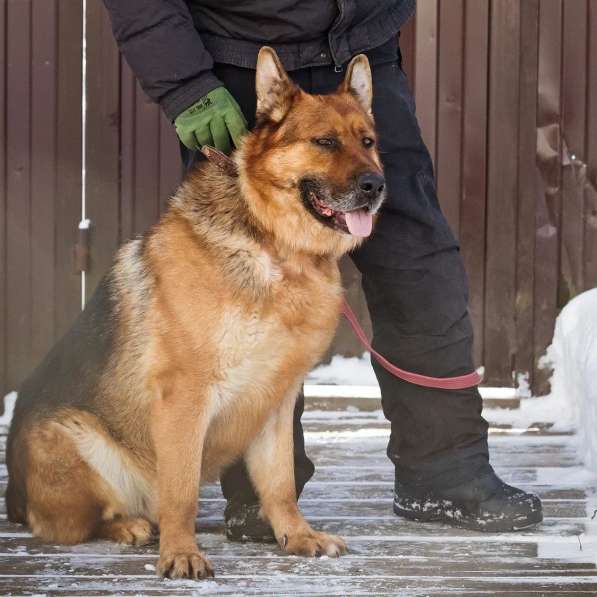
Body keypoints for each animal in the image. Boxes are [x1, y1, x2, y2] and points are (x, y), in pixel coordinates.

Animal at [5, 49, 386, 580]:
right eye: (324, 142)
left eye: (367, 142)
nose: (377, 185)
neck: (275, 247)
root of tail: (14, 496)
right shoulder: (184, 398)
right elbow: (181, 491)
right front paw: (181, 552)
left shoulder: (277, 399)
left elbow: (281, 484)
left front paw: (297, 536)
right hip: (72, 437)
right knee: (74, 523)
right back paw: (129, 526)